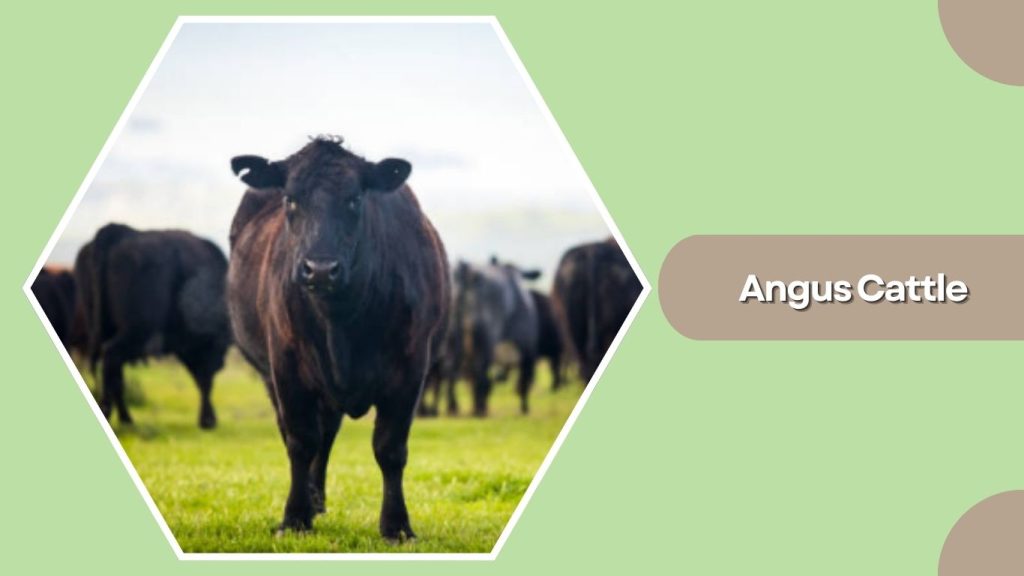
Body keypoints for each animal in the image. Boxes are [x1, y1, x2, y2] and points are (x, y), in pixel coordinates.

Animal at [75, 224, 231, 429]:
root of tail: (119, 232)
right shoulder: (206, 347)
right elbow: (205, 379)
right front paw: (208, 420)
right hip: (136, 333)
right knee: (111, 359)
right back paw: (112, 414)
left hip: (104, 329)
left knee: (114, 372)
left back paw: (125, 418)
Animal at [226, 136, 449, 540]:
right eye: (290, 199)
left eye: (354, 199)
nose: (320, 269)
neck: (341, 325)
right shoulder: (285, 367)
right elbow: (300, 441)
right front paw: (294, 518)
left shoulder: (411, 367)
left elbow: (390, 448)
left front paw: (396, 525)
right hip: (273, 376)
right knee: (304, 434)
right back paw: (311, 501)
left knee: (327, 433)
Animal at [450, 258, 541, 416]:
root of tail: (467, 272)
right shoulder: (528, 348)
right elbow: (524, 381)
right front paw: (524, 408)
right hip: (486, 341)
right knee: (480, 374)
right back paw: (479, 409)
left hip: (454, 341)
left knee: (452, 372)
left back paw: (456, 407)